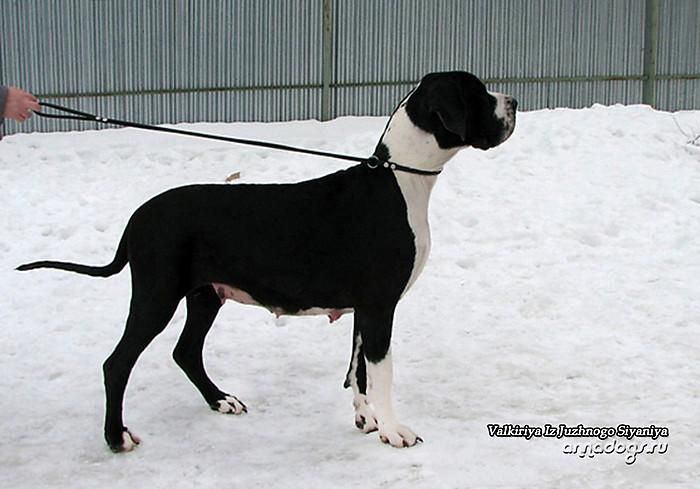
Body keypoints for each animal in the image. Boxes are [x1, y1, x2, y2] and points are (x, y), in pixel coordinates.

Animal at [18, 71, 516, 452]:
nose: (513, 100)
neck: (400, 181)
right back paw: (116, 436)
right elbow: (382, 372)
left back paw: (221, 400)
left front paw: (367, 419)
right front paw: (395, 432)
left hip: (205, 296)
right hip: (156, 296)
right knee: (117, 364)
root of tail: (138, 216)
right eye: (477, 91)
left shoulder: (365, 309)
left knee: (185, 351)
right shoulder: (380, 306)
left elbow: (357, 371)